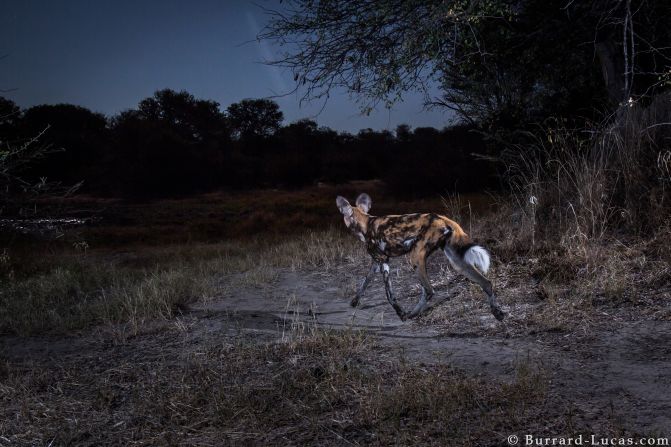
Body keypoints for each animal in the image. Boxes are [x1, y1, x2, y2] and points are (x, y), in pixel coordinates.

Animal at [338, 192, 506, 322]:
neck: (366, 223)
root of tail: (443, 218)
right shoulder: (377, 262)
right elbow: (364, 283)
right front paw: (354, 302)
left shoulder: (384, 263)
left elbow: (389, 295)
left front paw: (400, 312)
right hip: (458, 263)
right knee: (486, 283)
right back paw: (497, 313)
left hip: (415, 259)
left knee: (429, 290)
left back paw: (410, 315)